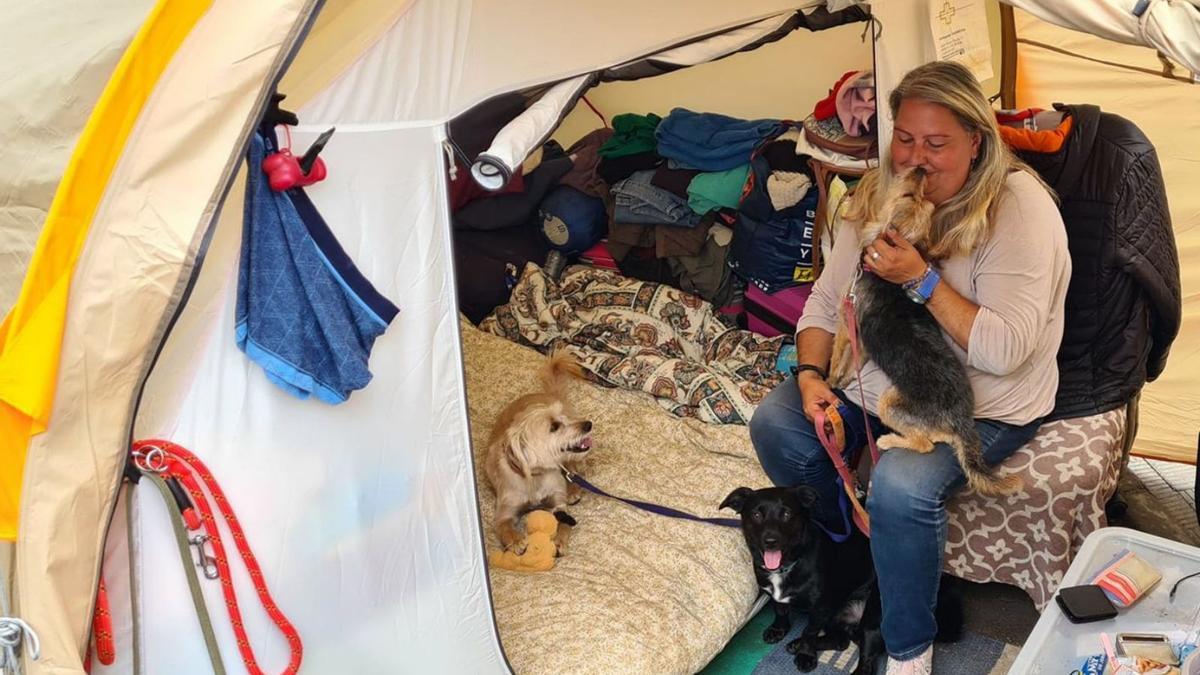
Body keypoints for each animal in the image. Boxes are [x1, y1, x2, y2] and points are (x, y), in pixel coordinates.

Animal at [484, 348, 592, 550]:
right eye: (554, 426)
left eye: (564, 419)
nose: (589, 424)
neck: (536, 475)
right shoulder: (504, 512)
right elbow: (504, 527)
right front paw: (516, 541)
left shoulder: (557, 501)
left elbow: (564, 521)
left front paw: (559, 541)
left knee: (572, 470)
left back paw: (573, 489)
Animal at [715, 485, 960, 667]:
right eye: (756, 514)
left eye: (786, 514)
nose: (771, 541)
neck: (788, 565)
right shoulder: (777, 596)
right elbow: (781, 610)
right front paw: (780, 630)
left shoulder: (820, 608)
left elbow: (810, 631)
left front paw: (805, 655)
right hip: (838, 617)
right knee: (841, 642)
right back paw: (797, 643)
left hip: (873, 617)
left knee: (865, 662)